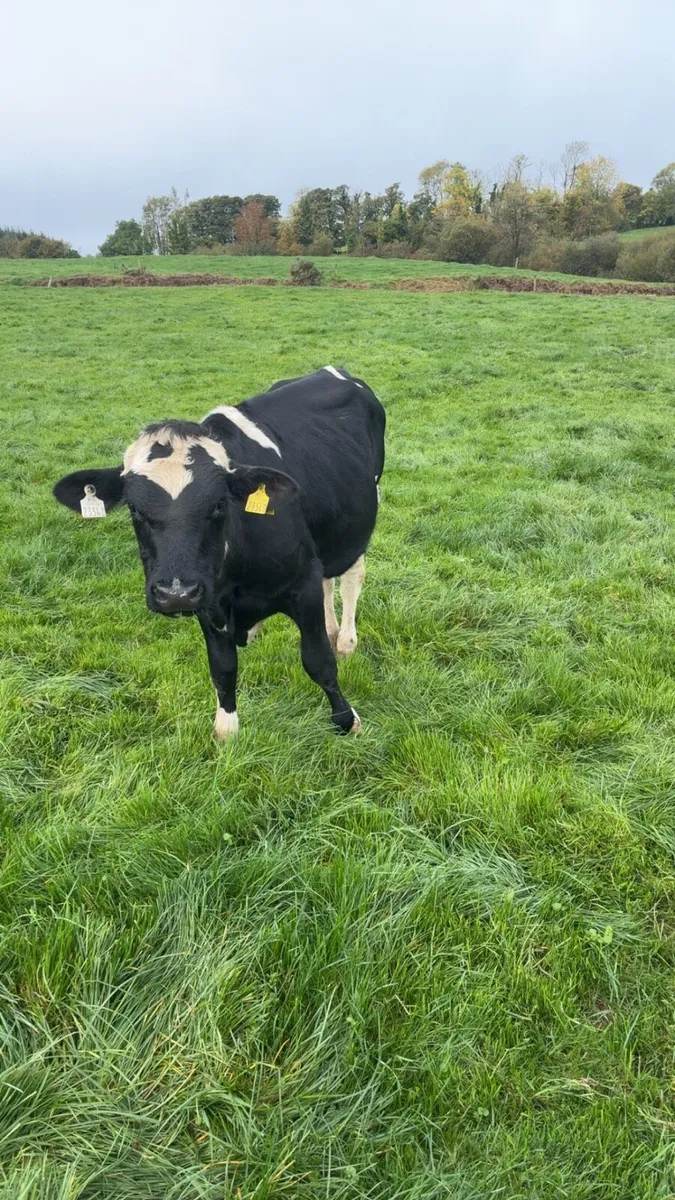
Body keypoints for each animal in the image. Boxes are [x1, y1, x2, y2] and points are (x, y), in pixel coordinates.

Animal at [52, 367, 386, 739]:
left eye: (219, 504)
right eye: (134, 510)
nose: (175, 592)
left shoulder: (303, 584)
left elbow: (318, 660)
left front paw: (346, 719)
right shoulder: (208, 600)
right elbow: (222, 669)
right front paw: (226, 731)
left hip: (363, 512)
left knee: (350, 578)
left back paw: (345, 640)